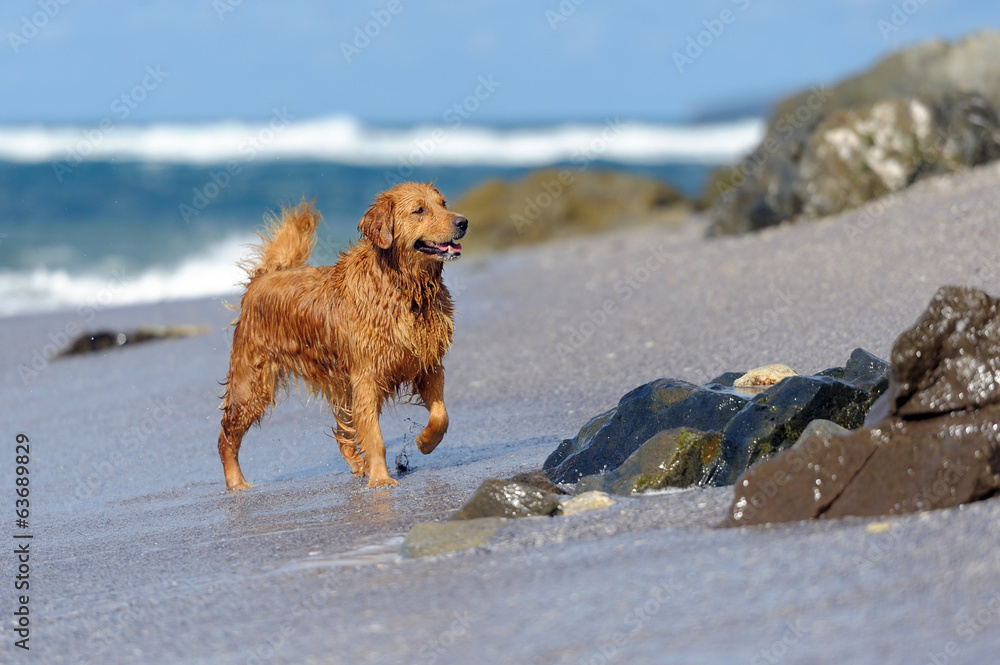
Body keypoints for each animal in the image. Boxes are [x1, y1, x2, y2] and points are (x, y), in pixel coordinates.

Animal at [217, 182, 466, 488]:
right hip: (252, 384)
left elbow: (441, 415)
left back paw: (359, 464)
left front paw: (424, 442)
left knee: (342, 431)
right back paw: (236, 482)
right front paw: (381, 480)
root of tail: (261, 279)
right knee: (226, 436)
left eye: (443, 204)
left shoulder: (427, 364)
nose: (463, 222)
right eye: (419, 210)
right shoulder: (366, 376)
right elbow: (374, 435)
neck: (404, 288)